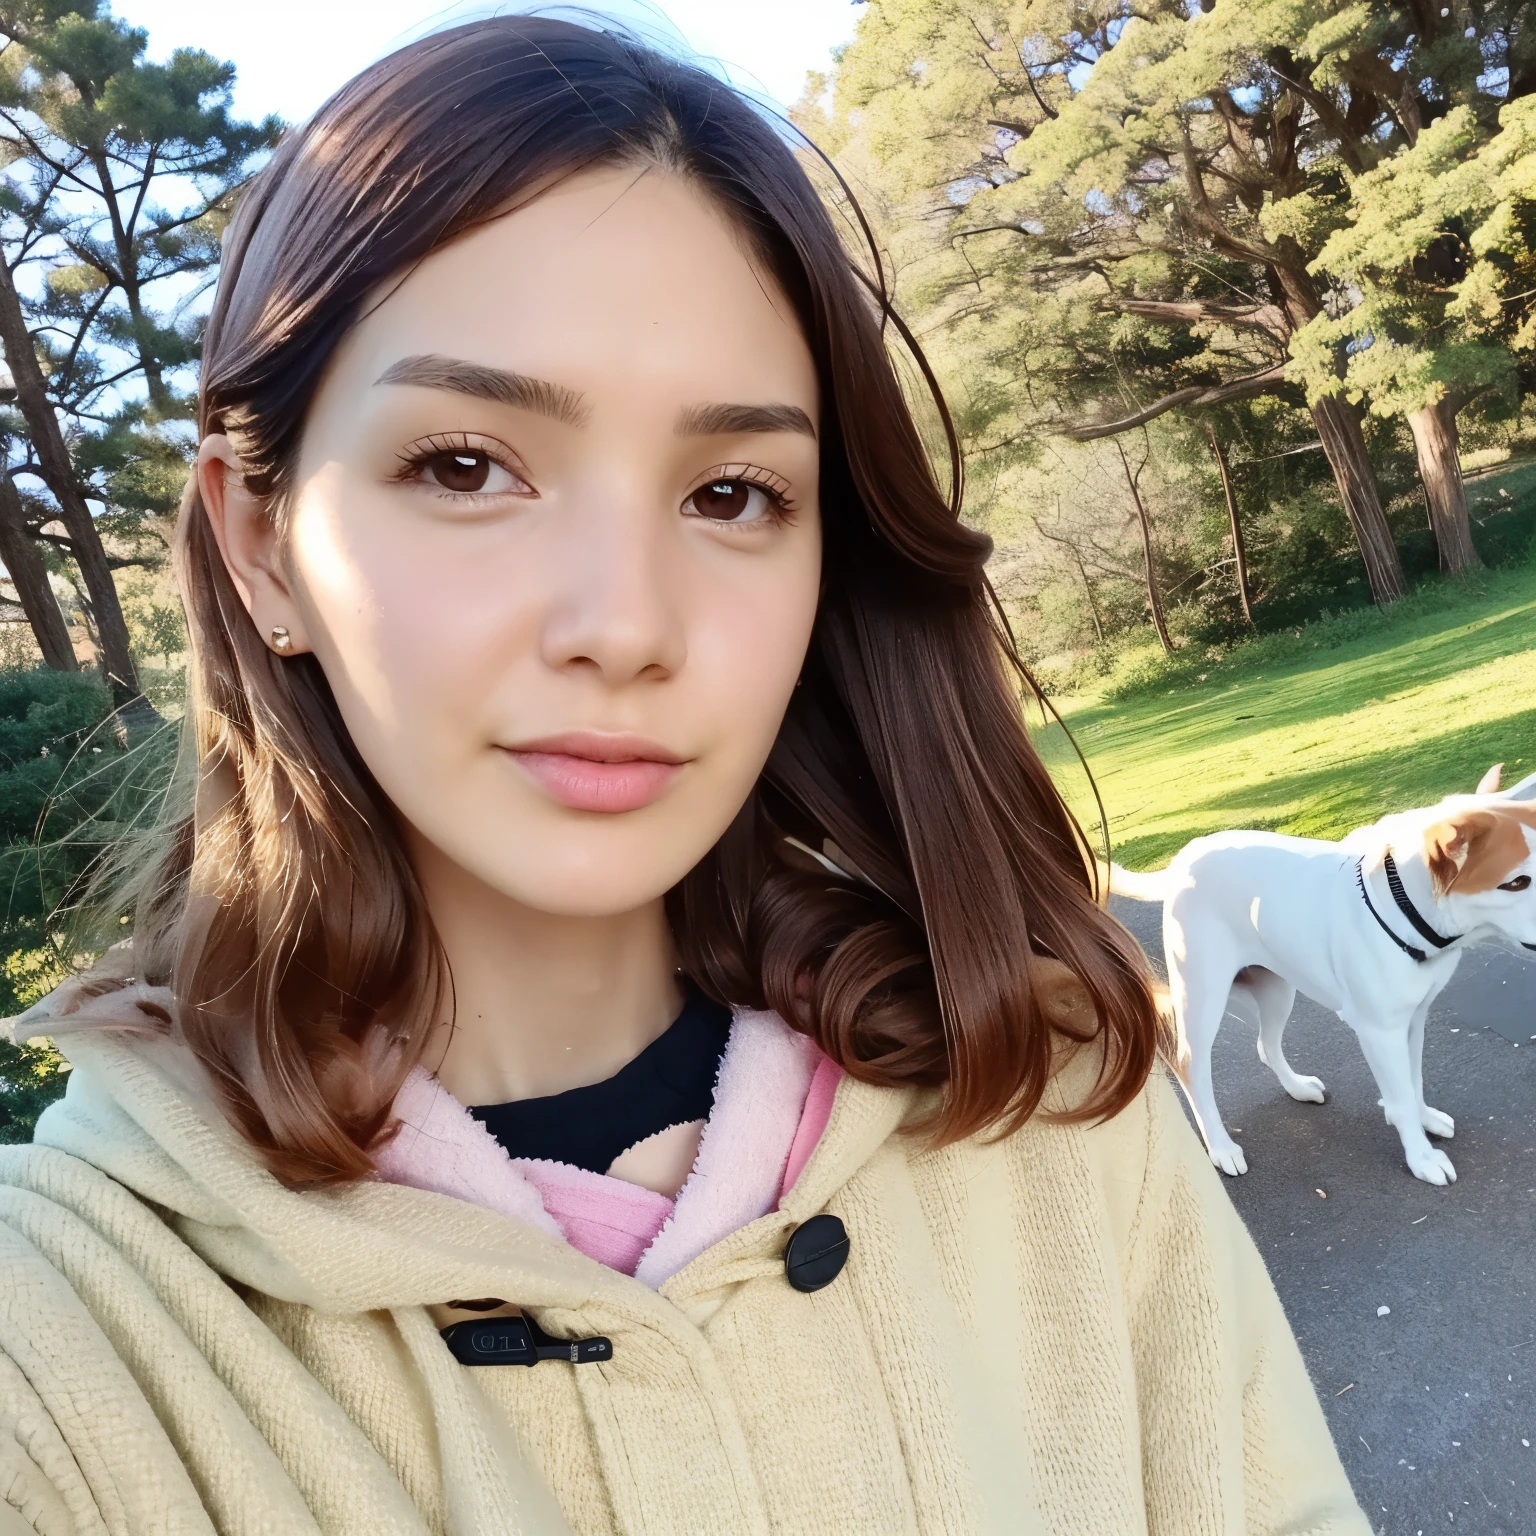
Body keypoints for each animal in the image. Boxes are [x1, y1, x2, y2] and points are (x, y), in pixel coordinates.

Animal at [1112, 768, 1536, 1185]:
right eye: (1516, 882)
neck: (1402, 905)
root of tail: (1185, 857)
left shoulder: (1413, 1018)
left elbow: (1412, 1079)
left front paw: (1424, 1117)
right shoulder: (1379, 1031)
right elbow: (1400, 1096)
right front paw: (1421, 1156)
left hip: (1277, 988)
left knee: (1266, 1045)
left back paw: (1297, 1087)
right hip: (1202, 996)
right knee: (1192, 1066)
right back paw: (1220, 1147)